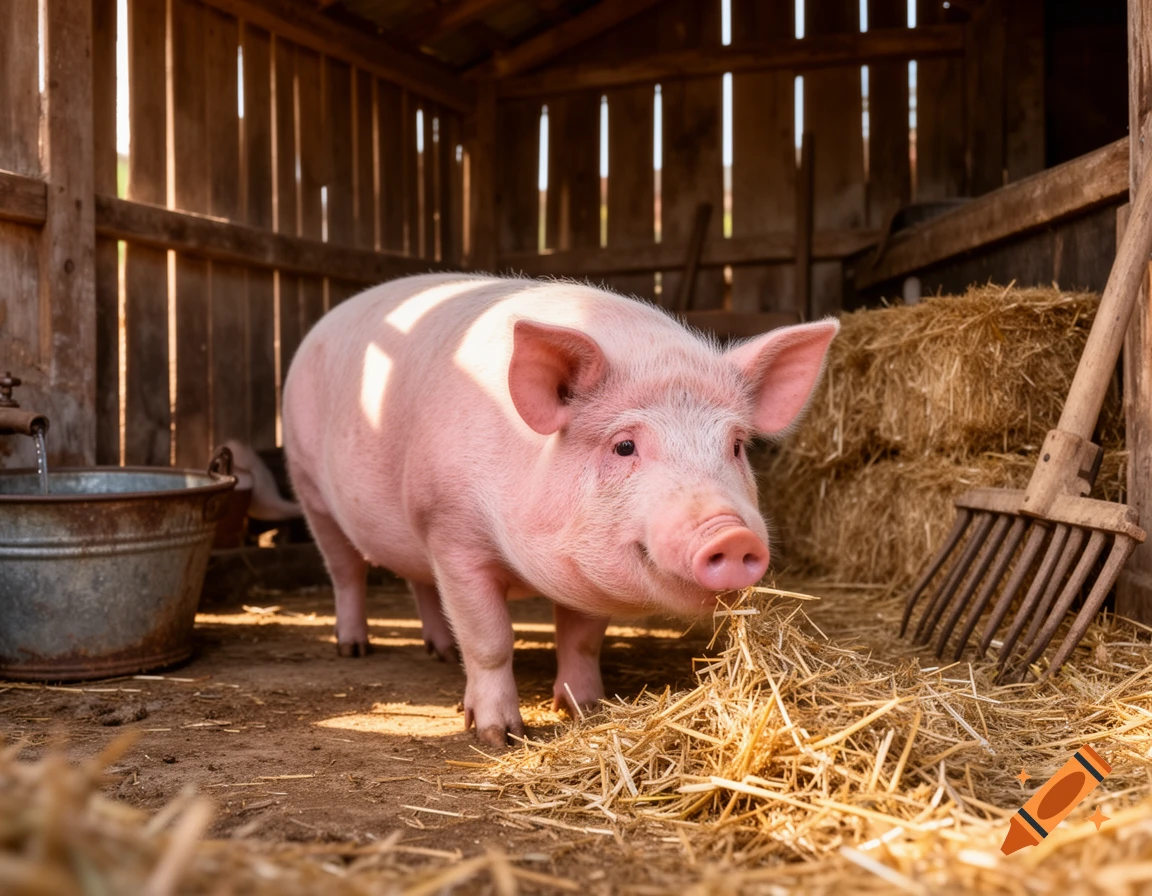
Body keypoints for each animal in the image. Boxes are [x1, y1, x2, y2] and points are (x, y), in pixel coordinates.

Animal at [282, 273, 837, 746]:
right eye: (624, 446)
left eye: (737, 446)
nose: (731, 535)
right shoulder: (451, 531)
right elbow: (490, 640)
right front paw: (498, 736)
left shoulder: (589, 578)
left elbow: (582, 639)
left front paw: (585, 708)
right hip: (310, 486)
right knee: (346, 570)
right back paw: (353, 647)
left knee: (418, 581)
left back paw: (440, 652)